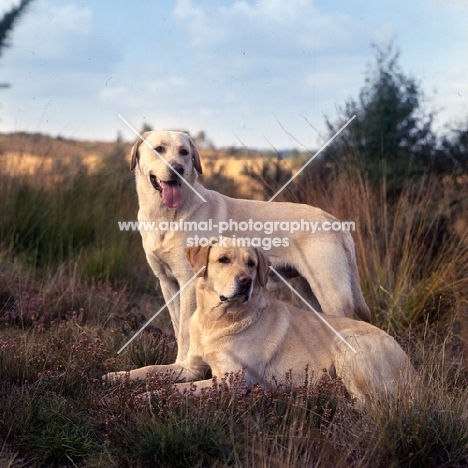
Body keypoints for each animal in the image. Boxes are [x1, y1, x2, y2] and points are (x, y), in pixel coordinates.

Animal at [104, 243, 412, 404]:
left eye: (251, 264)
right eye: (223, 259)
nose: (245, 281)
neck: (216, 320)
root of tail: (411, 366)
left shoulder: (230, 381)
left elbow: (178, 389)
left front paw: (150, 394)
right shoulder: (190, 367)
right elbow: (149, 369)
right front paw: (117, 376)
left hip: (347, 347)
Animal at [128, 132, 370, 362]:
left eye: (184, 152)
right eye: (158, 149)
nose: (177, 169)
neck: (166, 216)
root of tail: (335, 222)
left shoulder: (188, 283)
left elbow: (186, 330)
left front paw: (181, 363)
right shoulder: (166, 282)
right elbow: (178, 326)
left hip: (331, 295)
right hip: (307, 293)